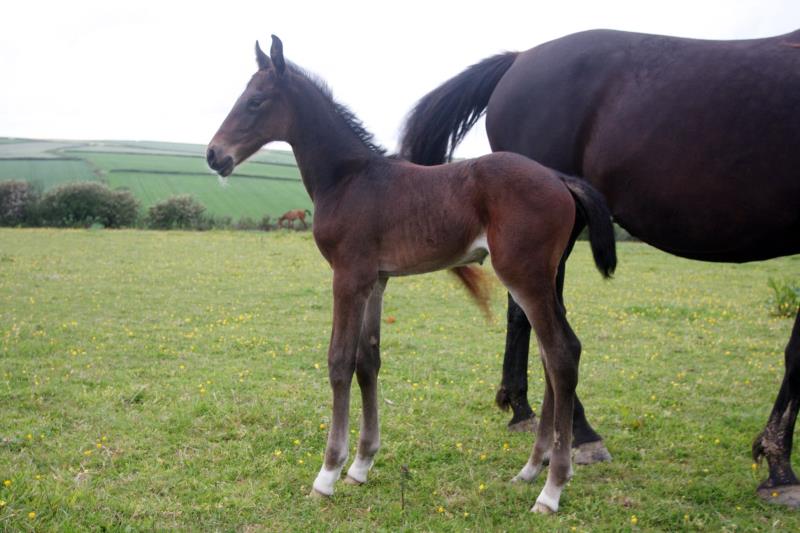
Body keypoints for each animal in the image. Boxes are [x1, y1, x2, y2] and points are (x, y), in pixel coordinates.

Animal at [203, 35, 616, 512]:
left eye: (256, 101)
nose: (213, 155)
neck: (347, 177)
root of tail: (560, 179)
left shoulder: (347, 276)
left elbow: (339, 362)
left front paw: (327, 474)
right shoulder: (375, 280)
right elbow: (368, 361)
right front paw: (360, 467)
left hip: (524, 275)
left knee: (562, 355)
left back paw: (551, 489)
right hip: (545, 278)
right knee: (555, 355)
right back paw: (530, 470)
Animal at [404, 28, 800, 502]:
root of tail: (518, 59)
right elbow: (799, 352)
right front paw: (780, 466)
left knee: (538, 326)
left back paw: (527, 416)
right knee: (549, 333)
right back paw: (579, 435)